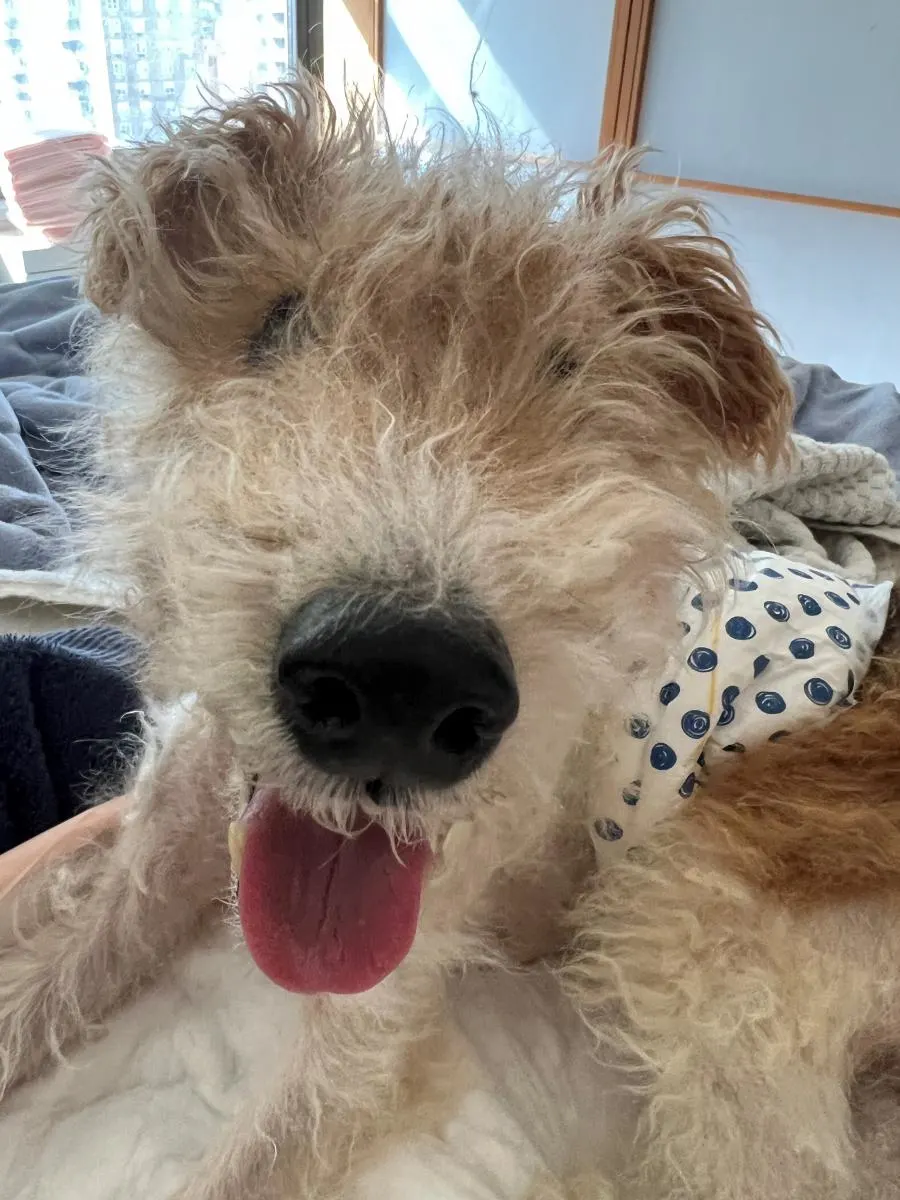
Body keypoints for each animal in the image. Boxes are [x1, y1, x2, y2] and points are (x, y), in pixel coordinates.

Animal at [7, 77, 900, 1200]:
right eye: (278, 323)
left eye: (571, 374)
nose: (402, 679)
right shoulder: (151, 867)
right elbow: (42, 984)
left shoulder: (372, 1024)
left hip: (691, 930)